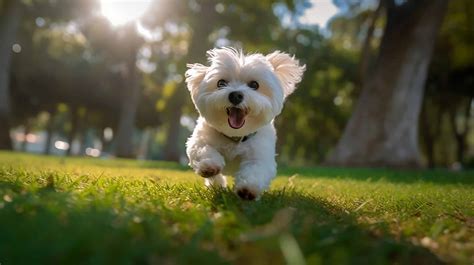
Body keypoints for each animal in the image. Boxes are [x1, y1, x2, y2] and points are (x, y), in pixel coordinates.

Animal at [184, 47, 304, 199]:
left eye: (254, 85)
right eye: (221, 83)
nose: (235, 95)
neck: (235, 136)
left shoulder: (260, 155)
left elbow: (255, 169)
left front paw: (248, 188)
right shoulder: (199, 140)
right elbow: (202, 149)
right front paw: (208, 165)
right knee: (216, 177)